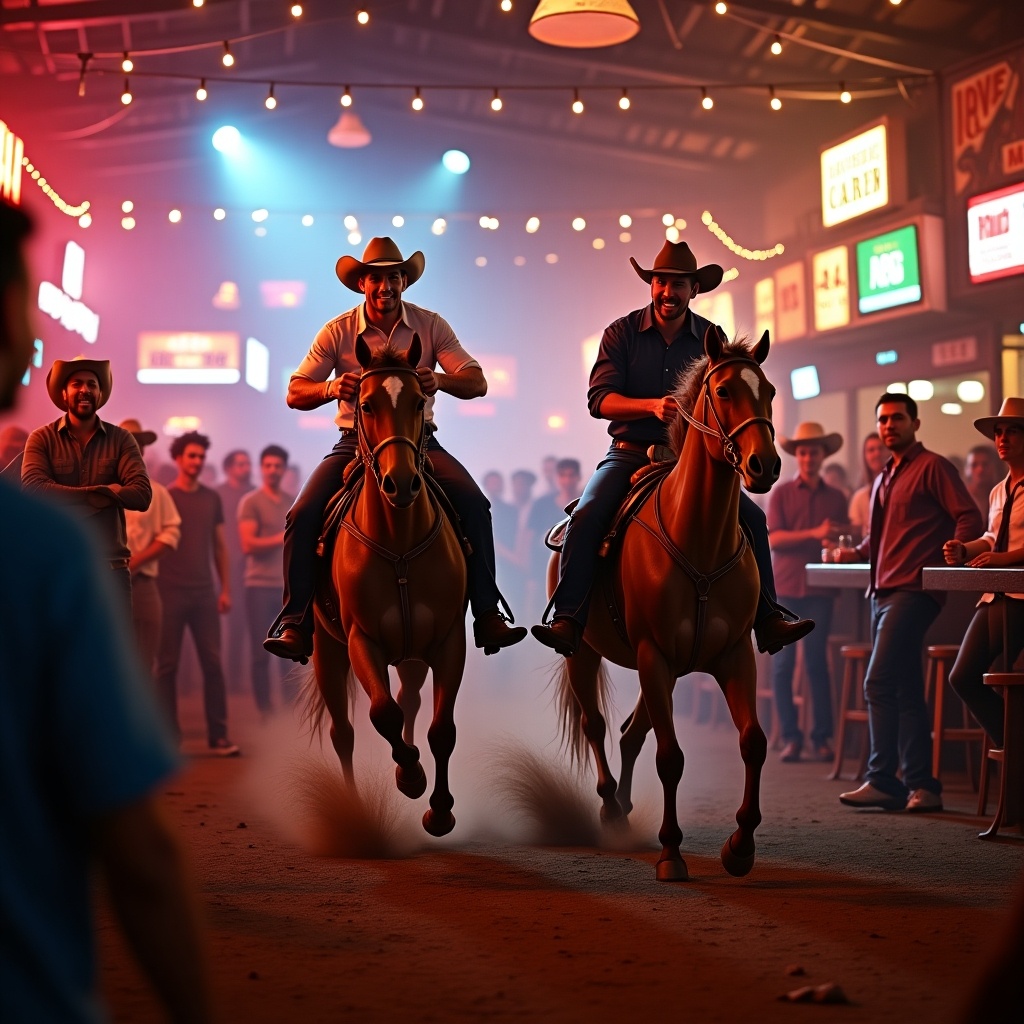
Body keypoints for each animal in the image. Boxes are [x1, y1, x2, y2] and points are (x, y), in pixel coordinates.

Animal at [307, 339, 468, 835]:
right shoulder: (362, 640)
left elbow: (441, 728)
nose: (401, 483)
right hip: (326, 649)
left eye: (420, 401)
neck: (399, 541)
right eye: (364, 404)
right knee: (344, 732)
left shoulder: (450, 640)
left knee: (410, 699)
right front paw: (411, 777)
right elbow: (382, 713)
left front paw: (439, 809)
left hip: (412, 655)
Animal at [552, 325, 774, 880]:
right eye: (723, 392)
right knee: (596, 725)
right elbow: (670, 758)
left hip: (667, 672)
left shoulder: (733, 655)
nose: (764, 465)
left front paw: (740, 846)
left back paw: (627, 808)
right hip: (586, 653)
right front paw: (671, 853)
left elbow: (753, 742)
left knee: (631, 733)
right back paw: (611, 809)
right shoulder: (653, 654)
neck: (698, 539)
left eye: (768, 392)